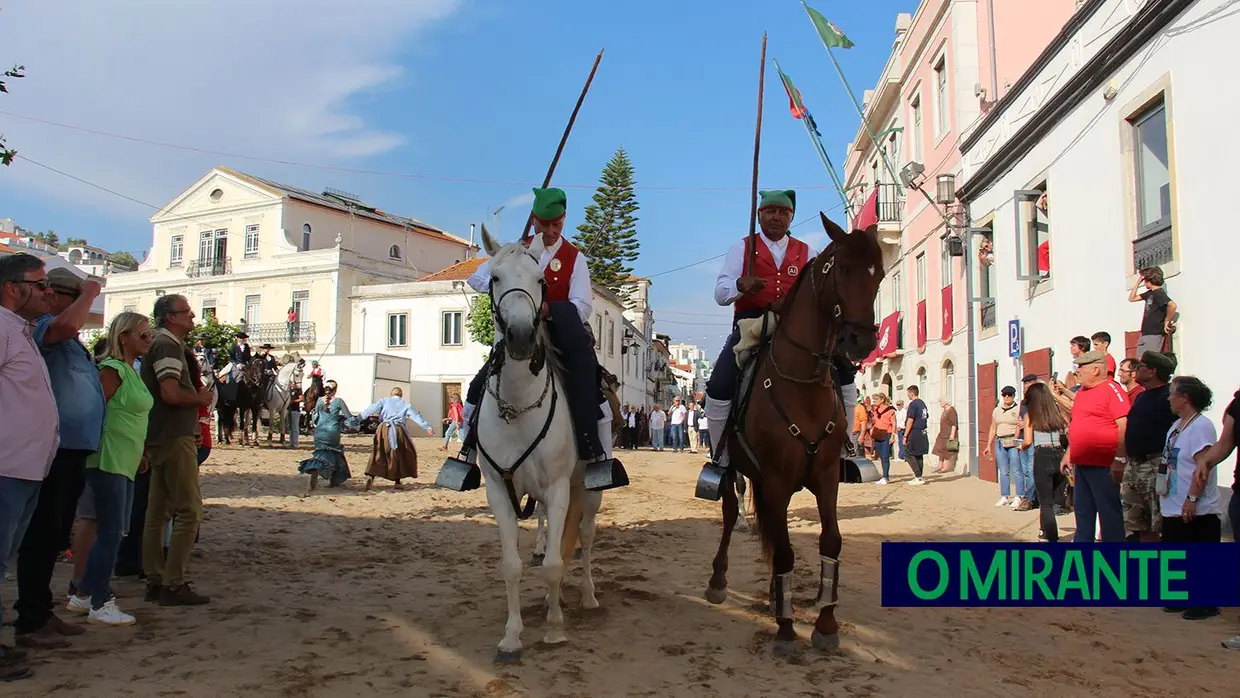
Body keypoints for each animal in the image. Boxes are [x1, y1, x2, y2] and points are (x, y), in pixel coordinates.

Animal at [476, 226, 602, 664]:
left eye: (541, 281)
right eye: (495, 277)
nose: (520, 337)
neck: (518, 406)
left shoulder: (559, 488)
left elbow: (553, 564)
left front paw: (554, 628)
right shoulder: (499, 491)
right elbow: (512, 566)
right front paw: (512, 637)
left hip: (589, 490)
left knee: (584, 539)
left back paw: (586, 596)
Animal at [704, 213, 887, 654]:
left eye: (878, 275)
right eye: (844, 269)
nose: (860, 342)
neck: (801, 382)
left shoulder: (825, 478)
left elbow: (830, 542)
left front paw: (825, 623)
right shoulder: (775, 478)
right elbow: (785, 550)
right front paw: (787, 630)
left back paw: (775, 596)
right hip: (737, 469)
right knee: (732, 512)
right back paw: (720, 581)